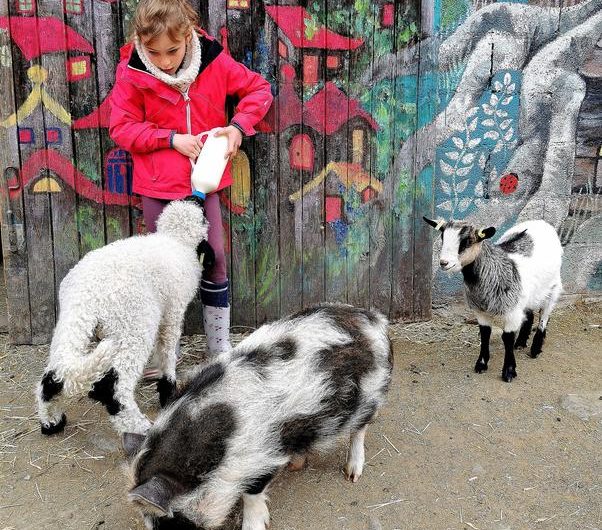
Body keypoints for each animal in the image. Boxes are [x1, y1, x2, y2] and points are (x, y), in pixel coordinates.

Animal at [35, 196, 209, 448]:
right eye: (204, 215)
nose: (195, 197)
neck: (174, 239)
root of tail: (86, 296)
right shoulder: (172, 312)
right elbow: (167, 350)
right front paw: (167, 390)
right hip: (133, 326)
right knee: (112, 387)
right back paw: (141, 428)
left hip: (71, 324)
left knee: (54, 375)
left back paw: (51, 422)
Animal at [124, 302, 392, 528]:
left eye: (171, 519)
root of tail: (374, 319)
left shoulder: (261, 457)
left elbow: (251, 494)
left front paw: (253, 525)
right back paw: (295, 464)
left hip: (370, 394)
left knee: (359, 430)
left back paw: (352, 474)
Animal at [424, 217, 560, 382]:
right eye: (443, 237)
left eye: (468, 241)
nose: (444, 263)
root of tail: (540, 222)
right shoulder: (481, 311)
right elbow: (485, 334)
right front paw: (481, 364)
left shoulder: (512, 312)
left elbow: (507, 338)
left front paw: (509, 371)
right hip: (527, 294)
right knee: (529, 313)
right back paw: (521, 343)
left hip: (552, 286)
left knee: (544, 315)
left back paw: (535, 348)